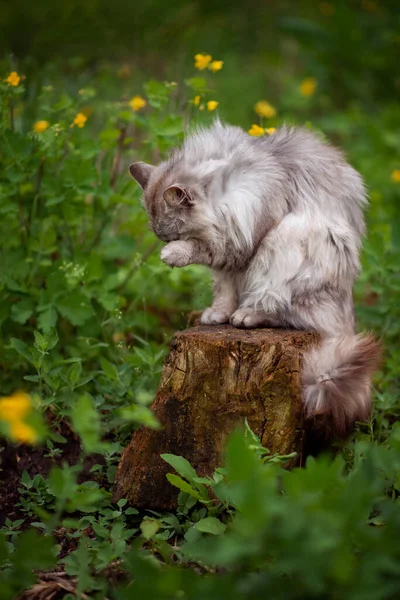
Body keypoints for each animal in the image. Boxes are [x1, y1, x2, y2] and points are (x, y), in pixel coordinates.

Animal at [130, 119, 380, 434]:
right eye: (161, 235)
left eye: (174, 235)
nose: (165, 243)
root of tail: (346, 316)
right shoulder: (228, 266)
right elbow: (225, 291)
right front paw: (218, 314)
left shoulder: (240, 243)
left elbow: (204, 249)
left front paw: (176, 254)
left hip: (286, 243)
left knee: (281, 311)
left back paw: (247, 316)